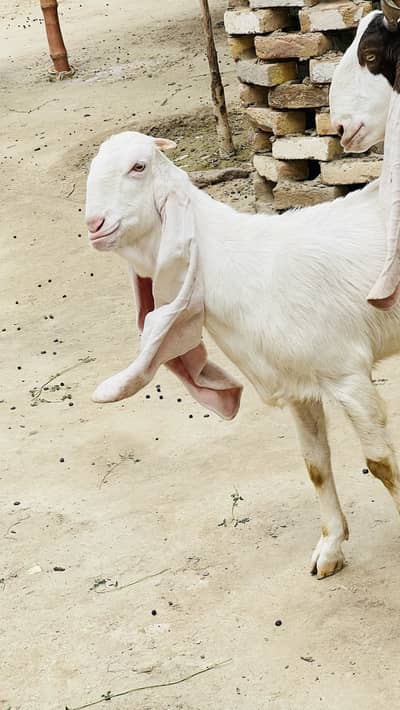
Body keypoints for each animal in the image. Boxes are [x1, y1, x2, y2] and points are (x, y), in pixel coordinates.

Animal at [86, 131, 400, 579]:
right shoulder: (299, 386)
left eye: (138, 167)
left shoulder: (346, 374)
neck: (241, 265)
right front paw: (329, 549)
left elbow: (380, 463)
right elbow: (315, 464)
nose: (94, 226)